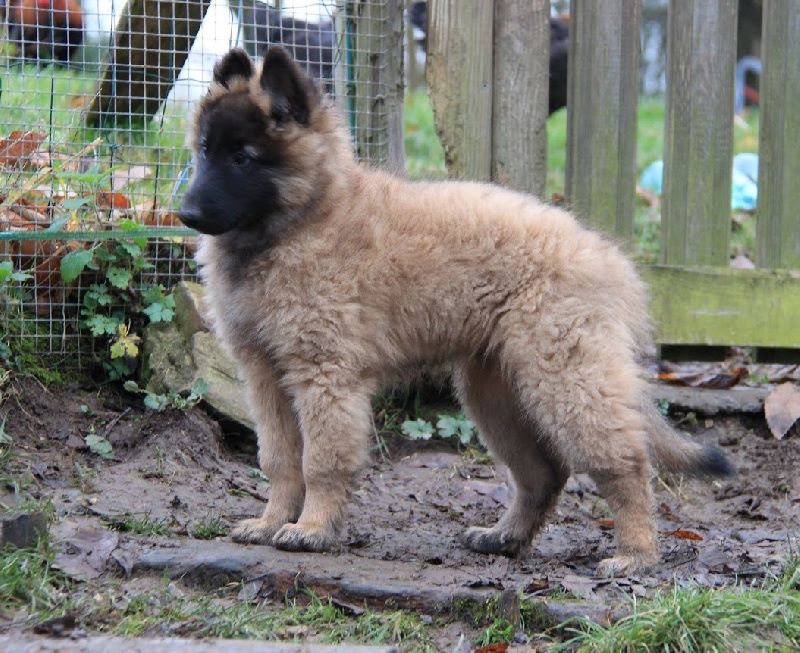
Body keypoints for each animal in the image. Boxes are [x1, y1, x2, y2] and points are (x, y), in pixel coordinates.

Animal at [180, 47, 732, 576]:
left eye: (244, 158)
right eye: (206, 151)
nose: (184, 214)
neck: (303, 220)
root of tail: (610, 259)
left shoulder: (324, 376)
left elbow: (320, 461)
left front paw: (312, 529)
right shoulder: (264, 374)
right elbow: (278, 458)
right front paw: (271, 522)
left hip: (567, 379)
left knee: (625, 462)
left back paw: (635, 553)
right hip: (495, 392)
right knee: (544, 473)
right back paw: (505, 537)